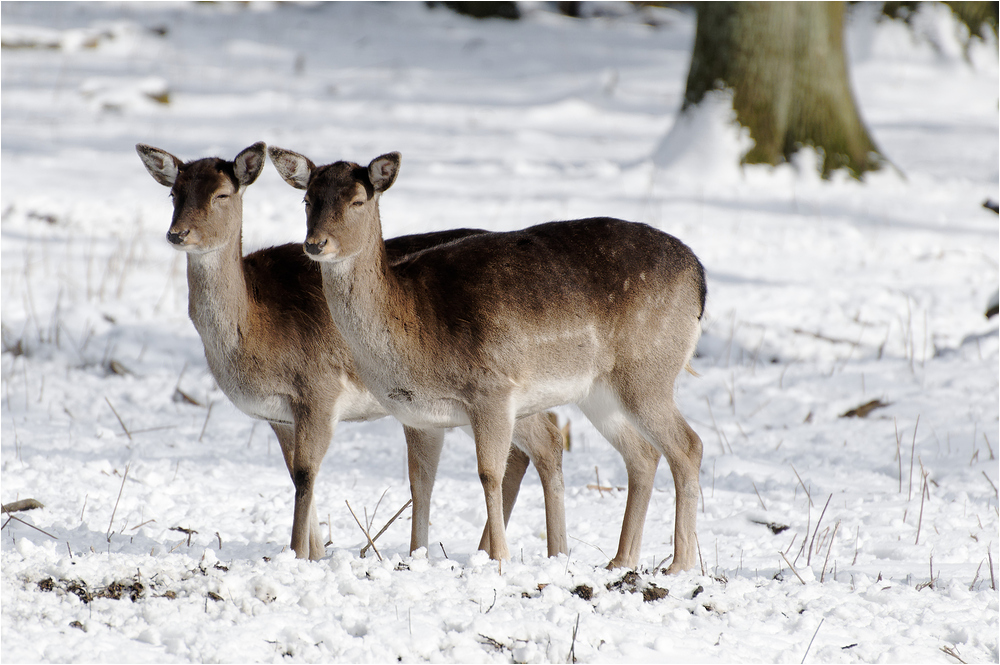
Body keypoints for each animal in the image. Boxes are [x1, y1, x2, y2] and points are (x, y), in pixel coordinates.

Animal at [138, 141, 572, 560]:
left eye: (222, 194)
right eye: (174, 193)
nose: (178, 234)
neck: (256, 327)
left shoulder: (318, 388)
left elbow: (306, 473)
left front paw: (298, 555)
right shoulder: (278, 416)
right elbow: (295, 474)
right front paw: (315, 553)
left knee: (543, 439)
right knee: (537, 443)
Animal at [266, 147, 704, 572]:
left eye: (358, 200)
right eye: (307, 199)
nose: (315, 243)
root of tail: (700, 279)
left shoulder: (493, 389)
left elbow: (489, 473)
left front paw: (499, 558)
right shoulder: (418, 416)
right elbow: (420, 482)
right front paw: (417, 556)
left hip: (648, 372)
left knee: (688, 445)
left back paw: (679, 564)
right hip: (600, 393)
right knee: (643, 454)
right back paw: (621, 559)